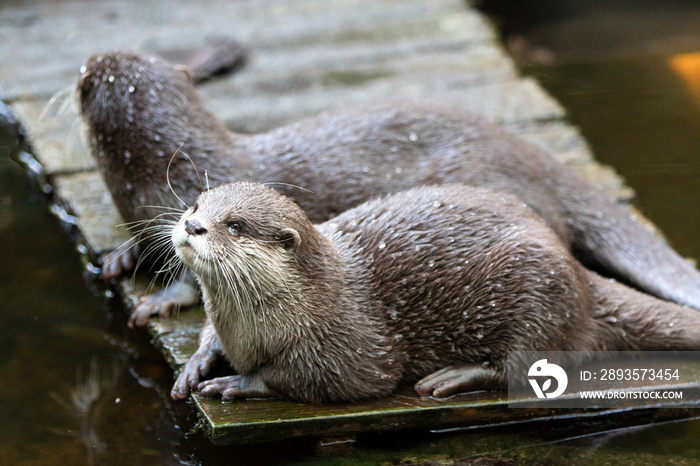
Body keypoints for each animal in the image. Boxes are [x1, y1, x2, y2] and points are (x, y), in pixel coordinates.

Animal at [78, 50, 700, 328]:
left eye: (87, 75)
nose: (91, 58)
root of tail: (529, 156)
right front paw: (121, 255)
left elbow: (187, 275)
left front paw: (158, 300)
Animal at [170, 183, 700, 404]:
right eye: (195, 204)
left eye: (235, 225)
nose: (192, 226)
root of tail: (582, 277)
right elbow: (209, 338)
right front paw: (197, 363)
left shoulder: (351, 341)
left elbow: (337, 380)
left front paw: (240, 383)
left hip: (539, 289)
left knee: (526, 363)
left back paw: (454, 376)